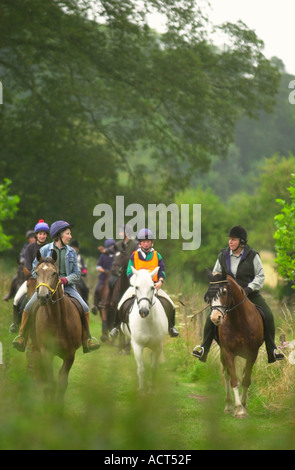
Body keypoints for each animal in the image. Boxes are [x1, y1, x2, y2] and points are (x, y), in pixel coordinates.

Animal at [30, 252, 85, 402]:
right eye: (36, 273)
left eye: (54, 273)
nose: (43, 296)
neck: (57, 320)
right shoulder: (46, 353)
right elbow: (50, 383)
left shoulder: (70, 354)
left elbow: (62, 382)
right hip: (36, 349)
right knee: (39, 375)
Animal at [205, 272, 264, 418]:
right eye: (209, 294)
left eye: (224, 292)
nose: (215, 318)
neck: (239, 321)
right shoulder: (228, 352)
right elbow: (234, 380)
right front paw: (238, 408)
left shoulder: (252, 353)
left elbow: (246, 379)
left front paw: (244, 405)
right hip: (223, 354)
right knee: (226, 375)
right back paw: (228, 406)